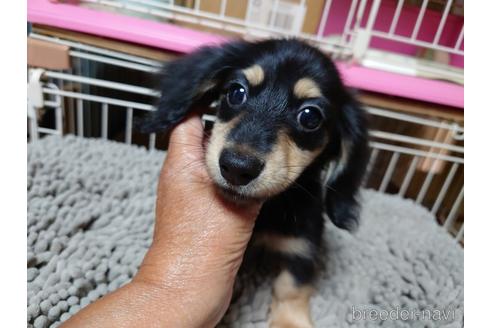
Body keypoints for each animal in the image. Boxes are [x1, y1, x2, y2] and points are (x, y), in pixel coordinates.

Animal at [140, 39, 368, 328]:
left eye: (310, 117)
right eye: (236, 92)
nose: (237, 168)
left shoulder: (303, 245)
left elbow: (291, 287)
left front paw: (290, 322)